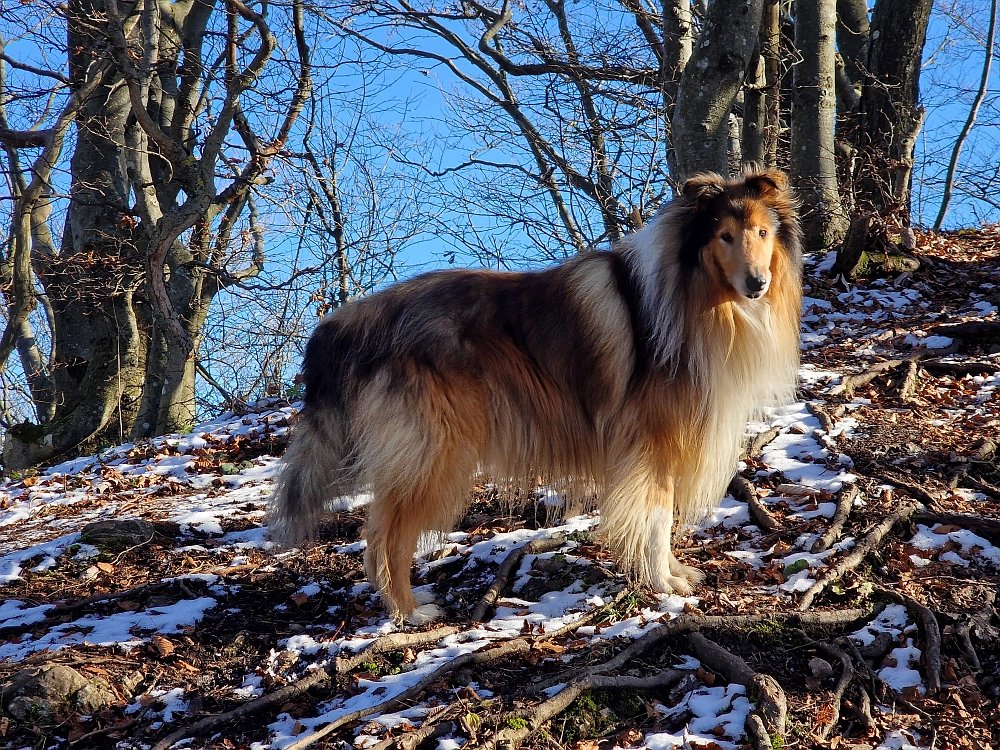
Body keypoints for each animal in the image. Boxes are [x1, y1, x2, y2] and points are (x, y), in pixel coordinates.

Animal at [274, 170, 804, 624]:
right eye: (724, 237)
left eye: (761, 232)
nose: (756, 285)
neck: (692, 293)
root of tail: (346, 324)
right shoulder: (651, 444)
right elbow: (654, 520)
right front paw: (662, 584)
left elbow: (661, 520)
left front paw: (673, 574)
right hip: (435, 452)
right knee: (385, 535)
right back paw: (410, 612)